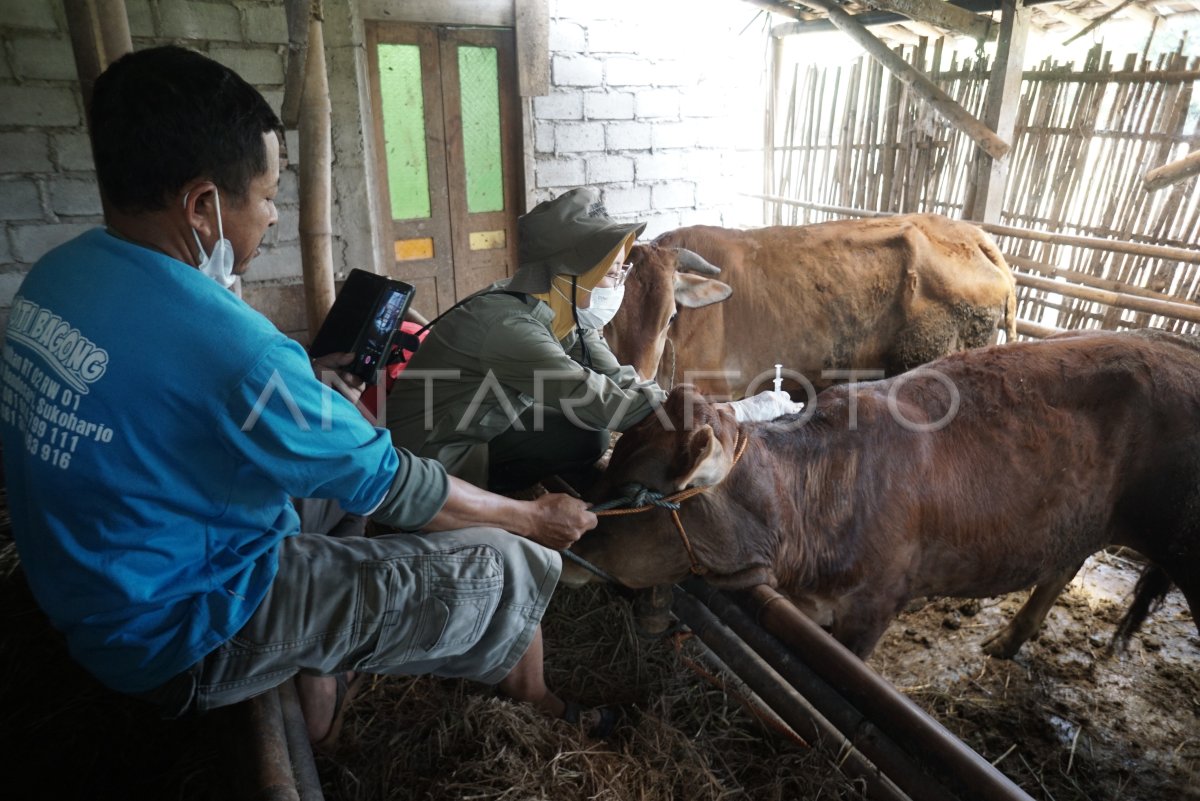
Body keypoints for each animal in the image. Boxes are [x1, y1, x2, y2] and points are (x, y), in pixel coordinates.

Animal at [566, 328, 1200, 661]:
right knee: (1063, 564)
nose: (574, 541)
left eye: (634, 487)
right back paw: (1006, 641)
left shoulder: (871, 608)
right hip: (1081, 516)